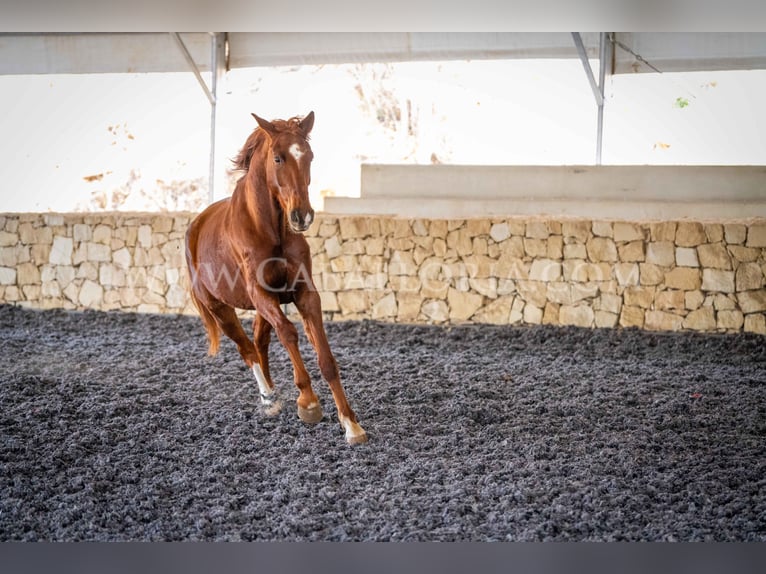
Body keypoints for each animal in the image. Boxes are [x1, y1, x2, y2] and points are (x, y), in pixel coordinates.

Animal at [184, 111, 368, 446]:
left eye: (309, 156)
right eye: (278, 158)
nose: (301, 215)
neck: (270, 228)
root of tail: (196, 226)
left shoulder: (304, 293)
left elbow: (326, 358)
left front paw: (351, 424)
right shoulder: (261, 294)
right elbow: (289, 334)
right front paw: (308, 402)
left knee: (260, 342)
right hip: (220, 309)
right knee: (247, 349)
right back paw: (269, 397)